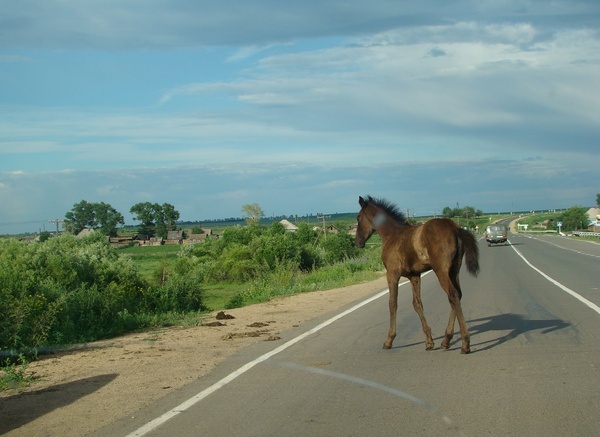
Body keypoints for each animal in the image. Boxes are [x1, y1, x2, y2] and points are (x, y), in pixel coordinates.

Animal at [356, 196, 478, 352]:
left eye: (358, 217)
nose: (358, 242)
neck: (392, 235)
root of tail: (455, 228)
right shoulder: (414, 276)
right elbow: (417, 304)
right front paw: (429, 341)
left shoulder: (392, 274)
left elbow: (392, 303)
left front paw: (389, 340)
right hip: (454, 270)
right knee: (458, 295)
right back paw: (446, 340)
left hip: (441, 270)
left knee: (453, 295)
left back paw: (465, 343)